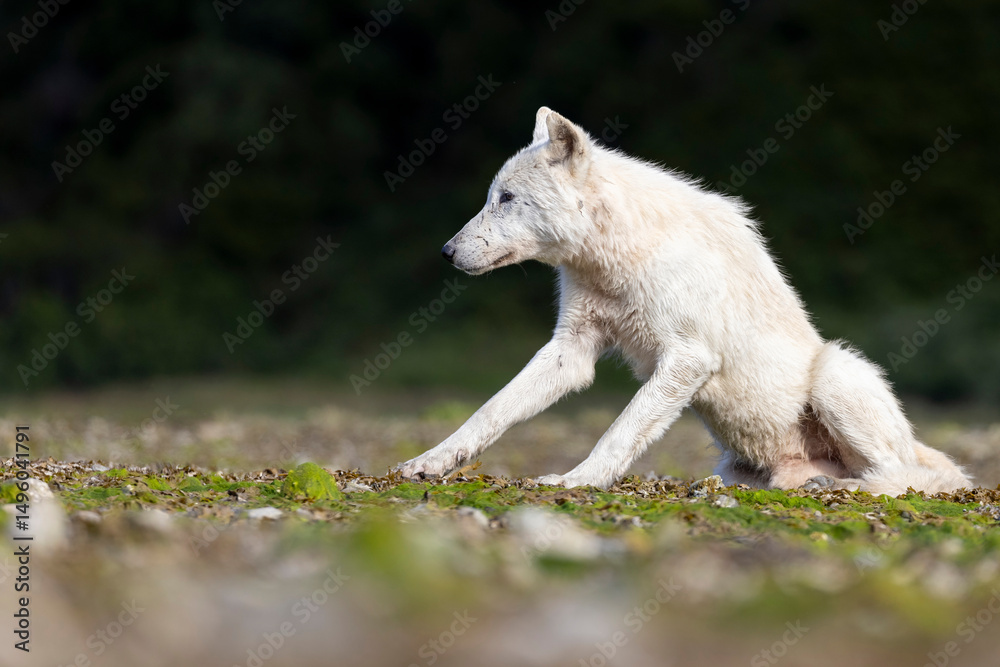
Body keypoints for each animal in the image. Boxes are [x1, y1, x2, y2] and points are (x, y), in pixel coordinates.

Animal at [397, 106, 971, 495]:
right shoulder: (572, 350)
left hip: (836, 372)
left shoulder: (687, 358)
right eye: (491, 197)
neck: (619, 257)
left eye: (506, 199)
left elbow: (619, 432)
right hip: (737, 465)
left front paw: (577, 480)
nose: (446, 252)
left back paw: (843, 487)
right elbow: (489, 411)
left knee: (907, 475)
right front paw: (430, 463)